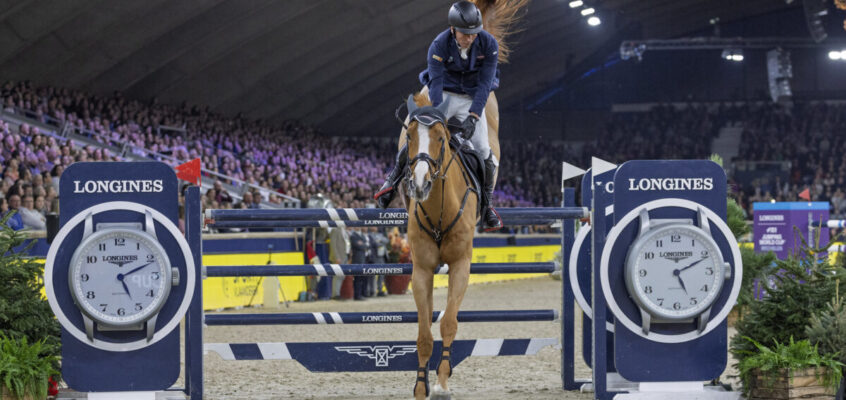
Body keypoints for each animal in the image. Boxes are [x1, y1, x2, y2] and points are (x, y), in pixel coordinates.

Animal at [396, 2, 524, 396]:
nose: (421, 184)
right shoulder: (422, 269)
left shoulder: (461, 265)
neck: (439, 208)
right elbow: (424, 332)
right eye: (410, 135)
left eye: (441, 137)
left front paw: (441, 382)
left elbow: (448, 322)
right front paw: (420, 387)